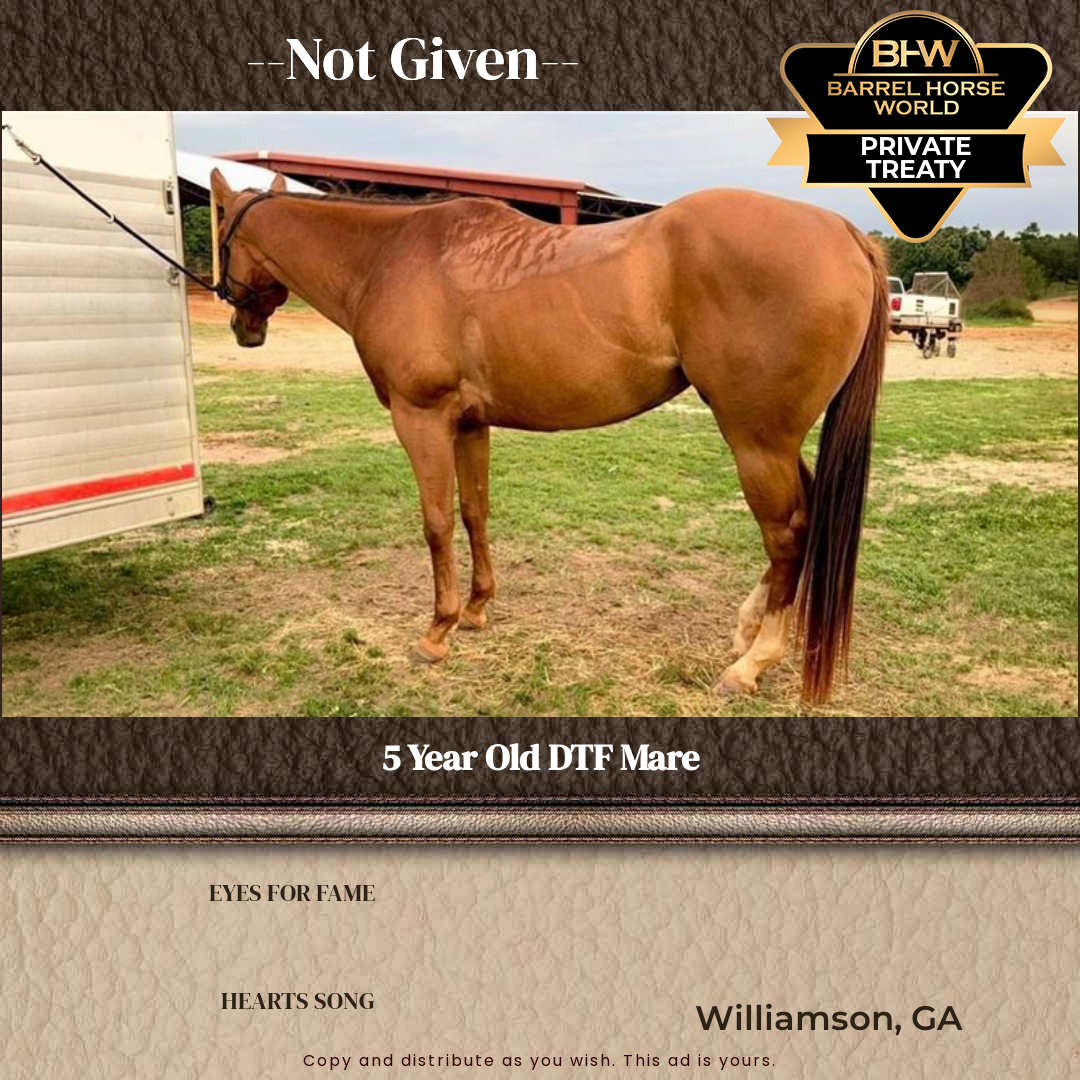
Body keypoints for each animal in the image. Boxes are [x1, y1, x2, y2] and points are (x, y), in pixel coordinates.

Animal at [209, 169, 887, 703]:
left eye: (223, 239)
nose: (243, 329)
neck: (391, 257)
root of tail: (846, 234)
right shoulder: (469, 423)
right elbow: (474, 511)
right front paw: (476, 610)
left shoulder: (421, 418)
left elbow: (436, 522)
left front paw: (436, 632)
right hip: (775, 443)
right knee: (802, 524)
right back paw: (747, 630)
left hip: (757, 442)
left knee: (789, 535)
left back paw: (751, 664)